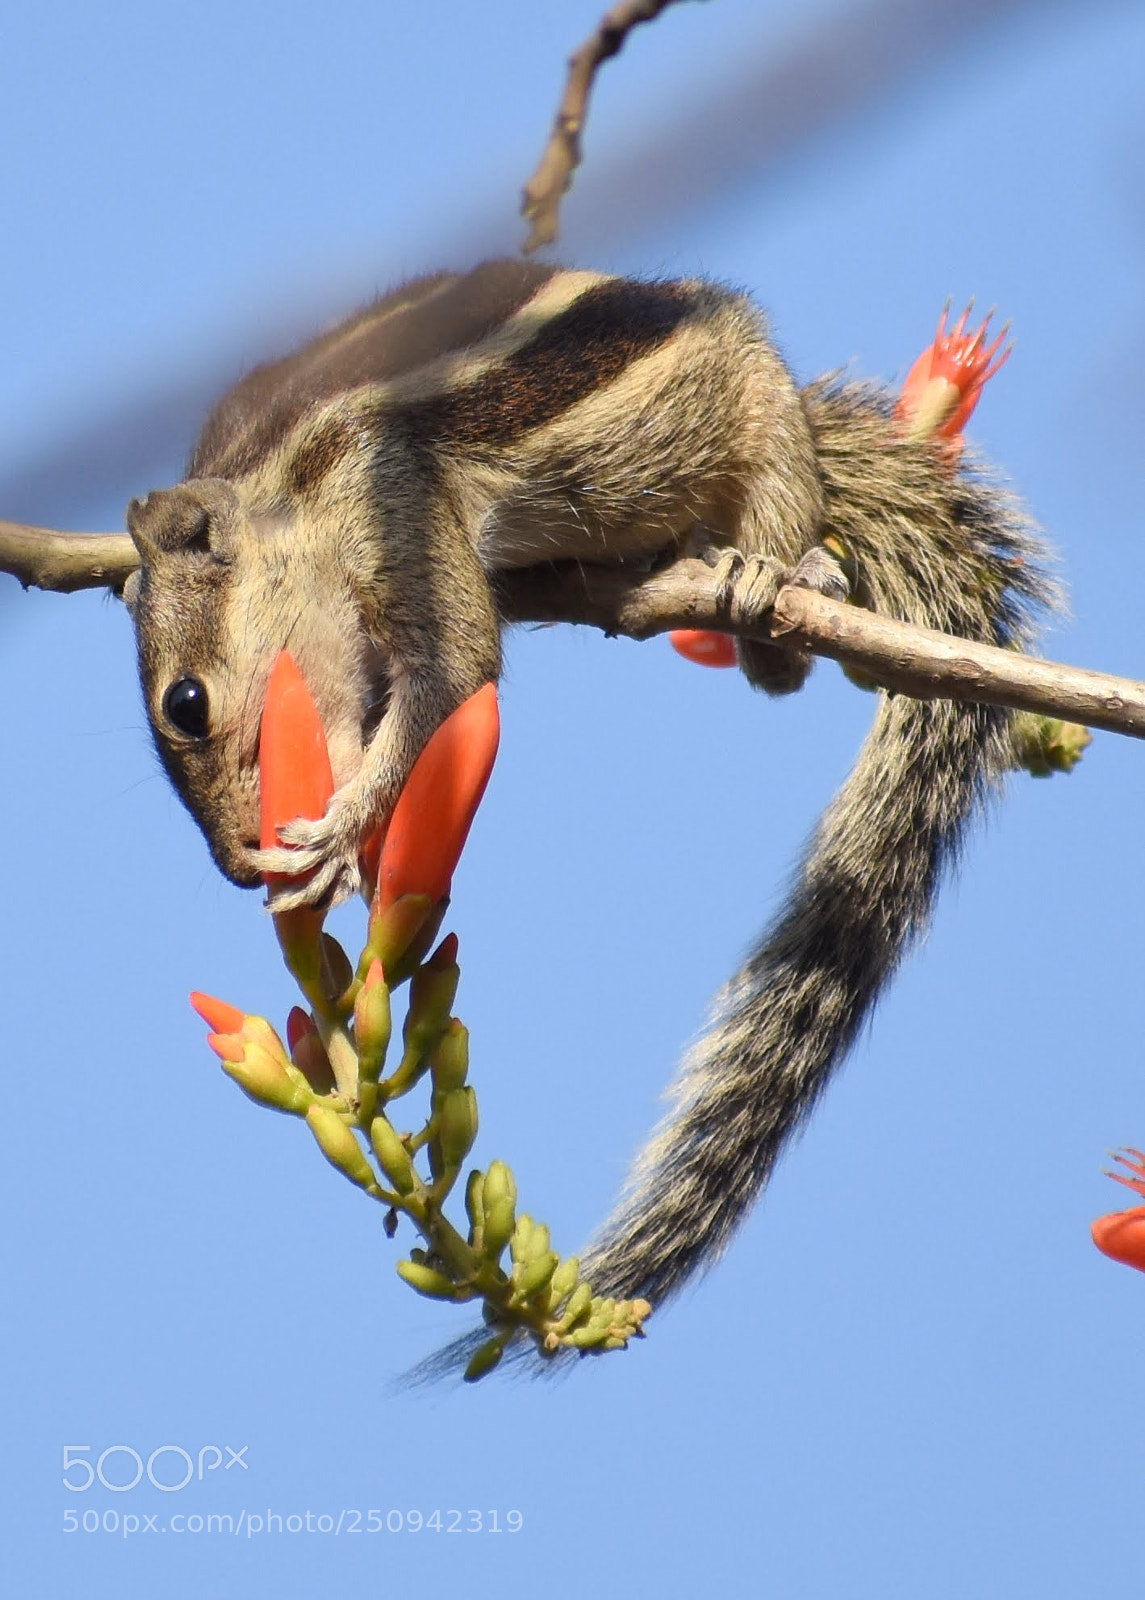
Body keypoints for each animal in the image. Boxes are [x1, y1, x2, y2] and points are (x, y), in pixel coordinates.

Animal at [122, 259, 1053, 1315]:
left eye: (186, 703)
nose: (241, 867)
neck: (280, 482)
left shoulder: (390, 504)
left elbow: (452, 669)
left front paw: (337, 831)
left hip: (758, 415)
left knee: (780, 622)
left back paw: (775, 573)